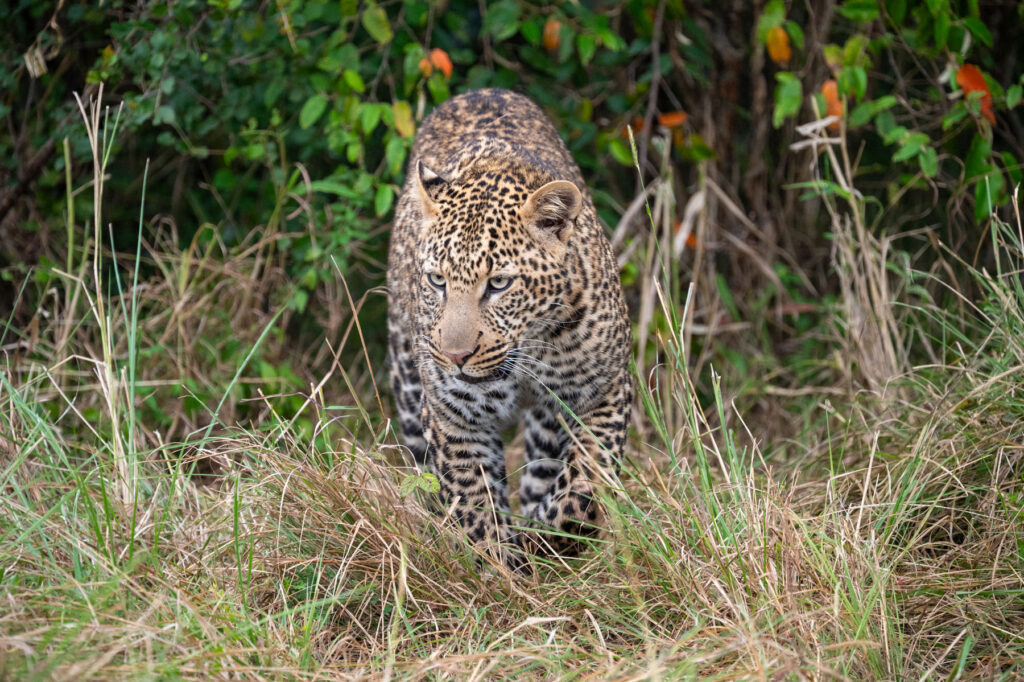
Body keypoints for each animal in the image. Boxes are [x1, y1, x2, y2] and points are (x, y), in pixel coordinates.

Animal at [386, 88, 632, 571]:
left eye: (499, 284)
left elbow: (585, 483)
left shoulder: (606, 390)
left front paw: (550, 540)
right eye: (437, 280)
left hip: (550, 421)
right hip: (407, 384)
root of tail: (480, 91)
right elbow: (474, 506)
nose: (456, 357)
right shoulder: (454, 419)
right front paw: (501, 571)